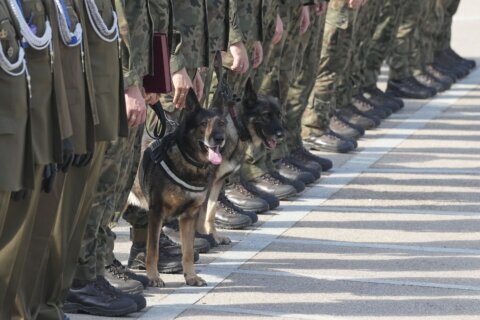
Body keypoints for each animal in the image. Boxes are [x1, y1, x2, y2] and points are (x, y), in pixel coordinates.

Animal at [130, 90, 228, 288]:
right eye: (203, 124)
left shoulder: (188, 217)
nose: (219, 139)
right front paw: (153, 276)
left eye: (221, 123)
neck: (190, 161)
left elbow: (188, 251)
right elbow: (153, 250)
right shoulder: (156, 213)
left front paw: (191, 276)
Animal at [196, 77, 284, 245]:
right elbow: (202, 212)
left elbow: (210, 211)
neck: (236, 128)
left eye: (278, 114)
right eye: (266, 115)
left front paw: (213, 236)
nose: (281, 135)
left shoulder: (217, 182)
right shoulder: (205, 184)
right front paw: (202, 236)